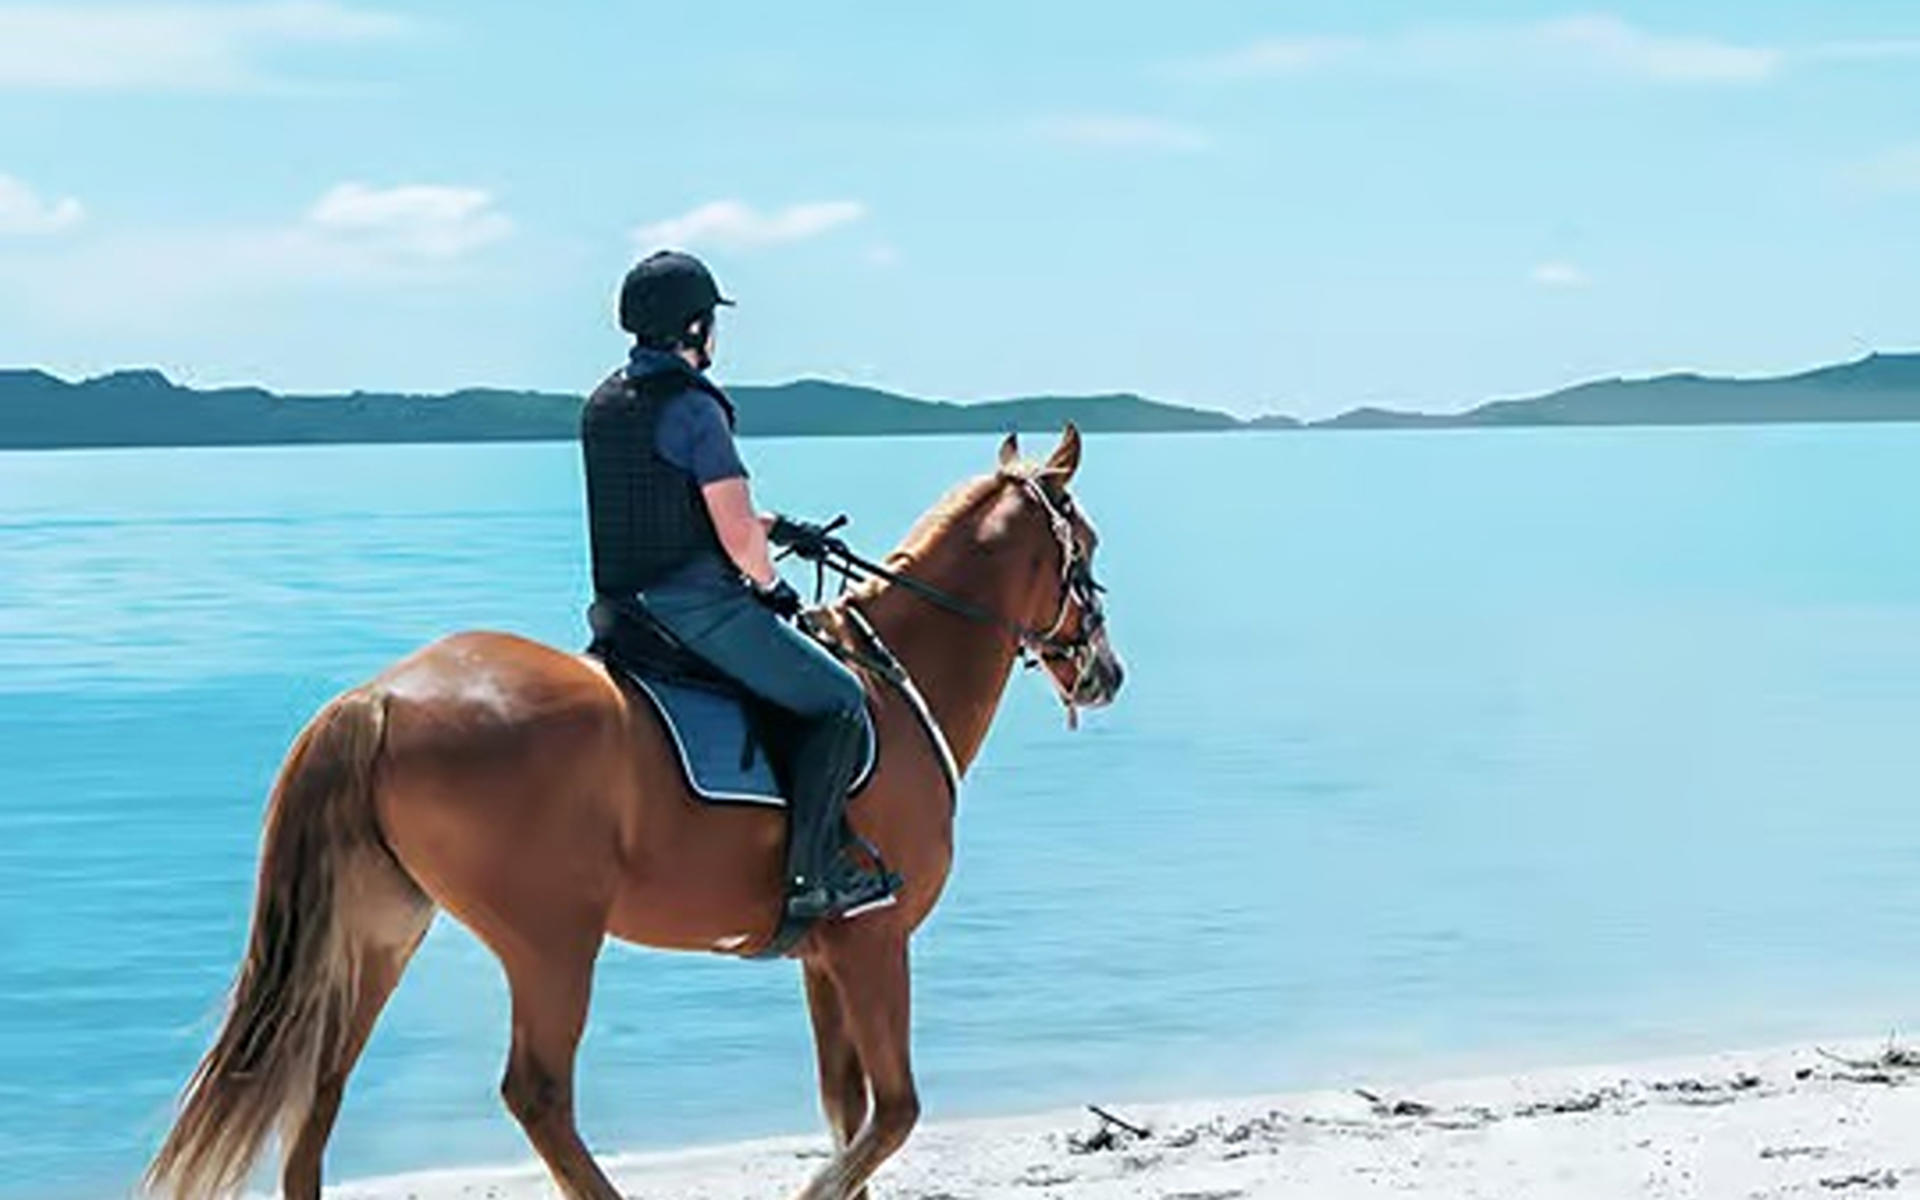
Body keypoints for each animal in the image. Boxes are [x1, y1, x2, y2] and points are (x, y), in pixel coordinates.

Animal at [145, 424, 1124, 1200]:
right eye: (1086, 546)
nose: (1105, 674)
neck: (892, 682)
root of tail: (377, 698)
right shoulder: (874, 941)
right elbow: (893, 1117)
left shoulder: (827, 958)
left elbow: (849, 1116)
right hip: (551, 942)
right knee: (537, 1094)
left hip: (379, 931)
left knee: (322, 1088)